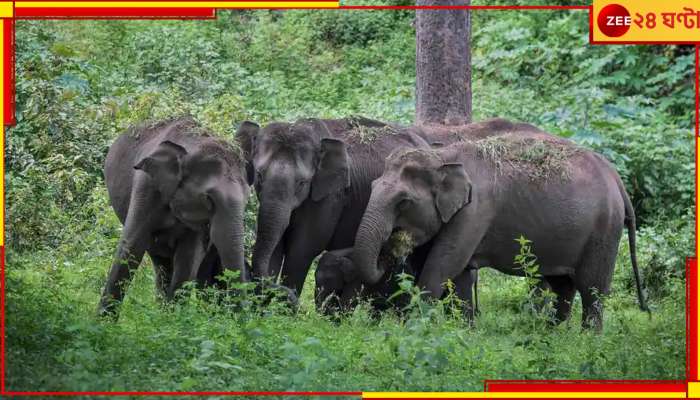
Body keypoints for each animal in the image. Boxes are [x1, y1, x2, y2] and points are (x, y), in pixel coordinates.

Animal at [98, 117, 252, 318]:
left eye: (247, 198)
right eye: (208, 199)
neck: (192, 144)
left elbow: (188, 257)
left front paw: (173, 320)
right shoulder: (146, 185)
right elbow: (132, 245)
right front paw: (101, 322)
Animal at [352, 133, 648, 330]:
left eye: (403, 201)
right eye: (373, 185)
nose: (387, 255)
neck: (443, 157)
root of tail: (617, 179)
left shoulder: (475, 211)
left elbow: (442, 268)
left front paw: (412, 330)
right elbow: (460, 277)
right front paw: (463, 332)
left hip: (603, 230)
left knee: (592, 290)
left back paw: (588, 340)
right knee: (563, 287)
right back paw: (552, 336)